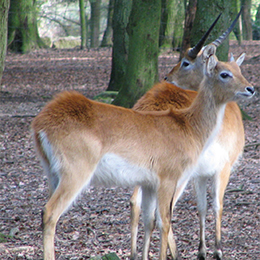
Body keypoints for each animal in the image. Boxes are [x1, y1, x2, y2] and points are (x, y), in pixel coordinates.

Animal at [32, 43, 254, 258]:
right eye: (224, 73)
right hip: (75, 171)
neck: (189, 127)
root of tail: (40, 124)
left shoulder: (149, 183)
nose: (250, 88)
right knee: (50, 212)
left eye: (239, 69)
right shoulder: (169, 178)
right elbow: (165, 221)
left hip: (52, 173)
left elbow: (150, 220)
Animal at [130, 9, 248, 258]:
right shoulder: (222, 168)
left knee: (137, 203)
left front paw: (202, 250)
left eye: (186, 62)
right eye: (226, 72)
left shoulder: (199, 174)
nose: (167, 77)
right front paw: (217, 250)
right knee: (161, 212)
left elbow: (202, 207)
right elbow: (217, 205)